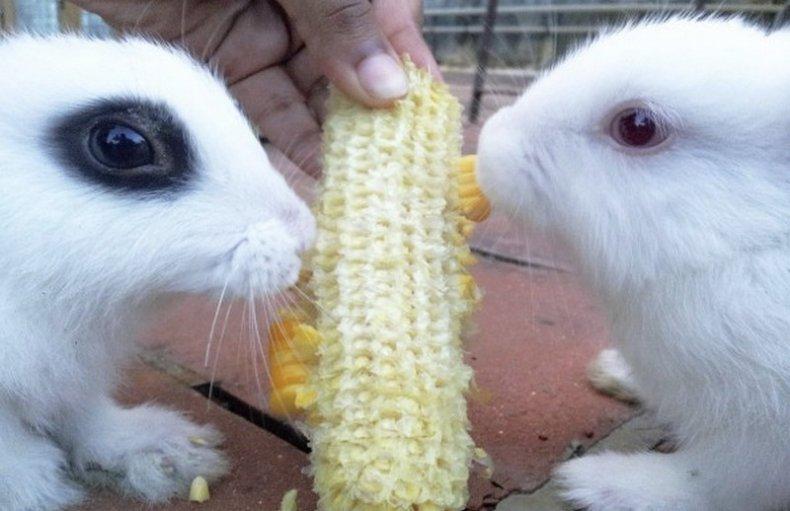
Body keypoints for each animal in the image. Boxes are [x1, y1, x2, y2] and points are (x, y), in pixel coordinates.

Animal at [0, 34, 315, 511]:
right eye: (121, 145)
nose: (303, 235)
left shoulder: (71, 364)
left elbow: (82, 412)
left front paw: (163, 452)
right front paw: (32, 482)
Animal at [476, 17, 790, 511]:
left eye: (638, 127)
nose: (489, 140)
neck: (741, 247)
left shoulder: (759, 434)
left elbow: (714, 482)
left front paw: (600, 482)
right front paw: (612, 372)